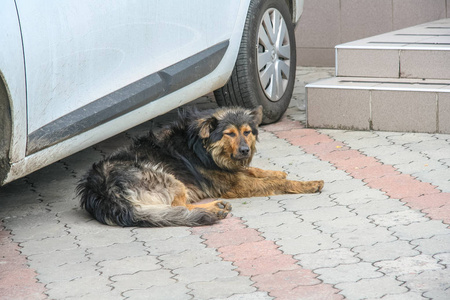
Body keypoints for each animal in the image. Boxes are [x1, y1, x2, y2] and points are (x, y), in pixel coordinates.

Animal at [77, 105, 324, 225]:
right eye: (229, 134)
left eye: (247, 132)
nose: (245, 150)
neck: (205, 147)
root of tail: (100, 191)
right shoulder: (236, 185)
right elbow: (274, 183)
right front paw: (308, 184)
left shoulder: (235, 169)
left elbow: (254, 170)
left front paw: (275, 172)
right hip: (169, 179)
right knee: (179, 207)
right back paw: (214, 208)